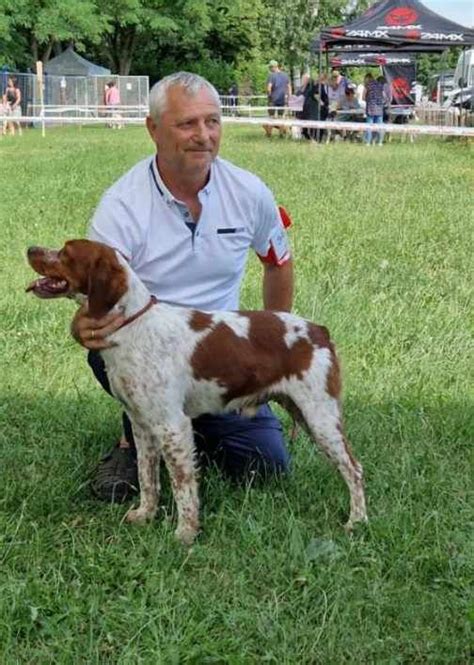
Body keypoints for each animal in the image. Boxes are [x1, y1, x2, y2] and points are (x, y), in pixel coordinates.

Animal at [25, 241, 368, 544]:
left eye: (66, 252)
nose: (30, 249)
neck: (133, 327)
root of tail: (319, 331)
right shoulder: (142, 423)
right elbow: (148, 478)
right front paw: (145, 515)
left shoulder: (172, 426)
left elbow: (183, 485)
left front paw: (185, 534)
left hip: (321, 416)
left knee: (354, 469)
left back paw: (357, 521)